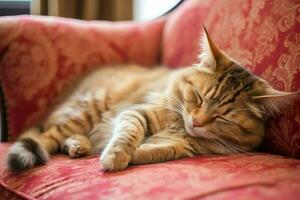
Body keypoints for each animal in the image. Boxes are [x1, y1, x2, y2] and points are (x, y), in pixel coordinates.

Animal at [5, 27, 298, 172]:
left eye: (222, 117)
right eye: (198, 97)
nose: (196, 122)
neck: (179, 126)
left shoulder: (183, 148)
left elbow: (157, 151)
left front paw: (131, 155)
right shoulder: (137, 112)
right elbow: (127, 135)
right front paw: (116, 155)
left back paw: (79, 146)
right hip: (86, 111)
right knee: (47, 137)